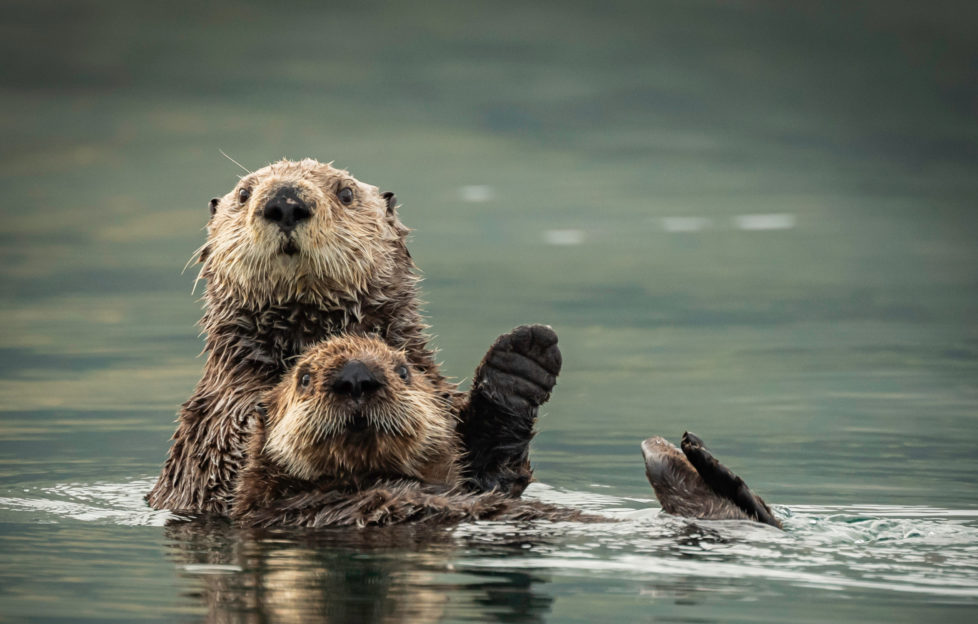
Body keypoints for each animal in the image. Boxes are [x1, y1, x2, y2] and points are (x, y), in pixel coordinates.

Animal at [145, 158, 556, 516]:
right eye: (244, 193)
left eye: (345, 193)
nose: (285, 202)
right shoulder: (216, 425)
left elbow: (488, 475)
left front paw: (520, 362)